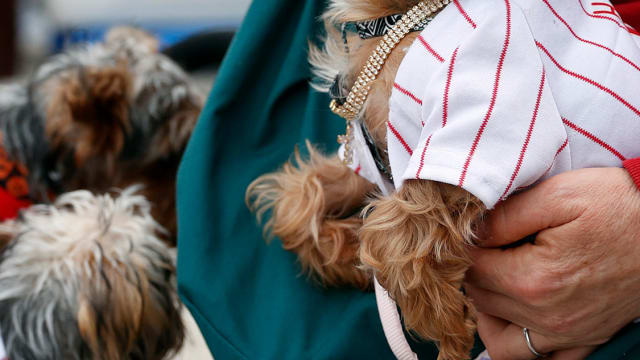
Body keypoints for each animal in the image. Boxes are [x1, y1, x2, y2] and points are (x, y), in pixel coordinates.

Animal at [248, 1, 640, 358]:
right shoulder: (376, 148)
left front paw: (450, 334)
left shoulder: (479, 118)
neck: (399, 20)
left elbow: (395, 240)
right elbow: (297, 200)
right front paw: (348, 255)